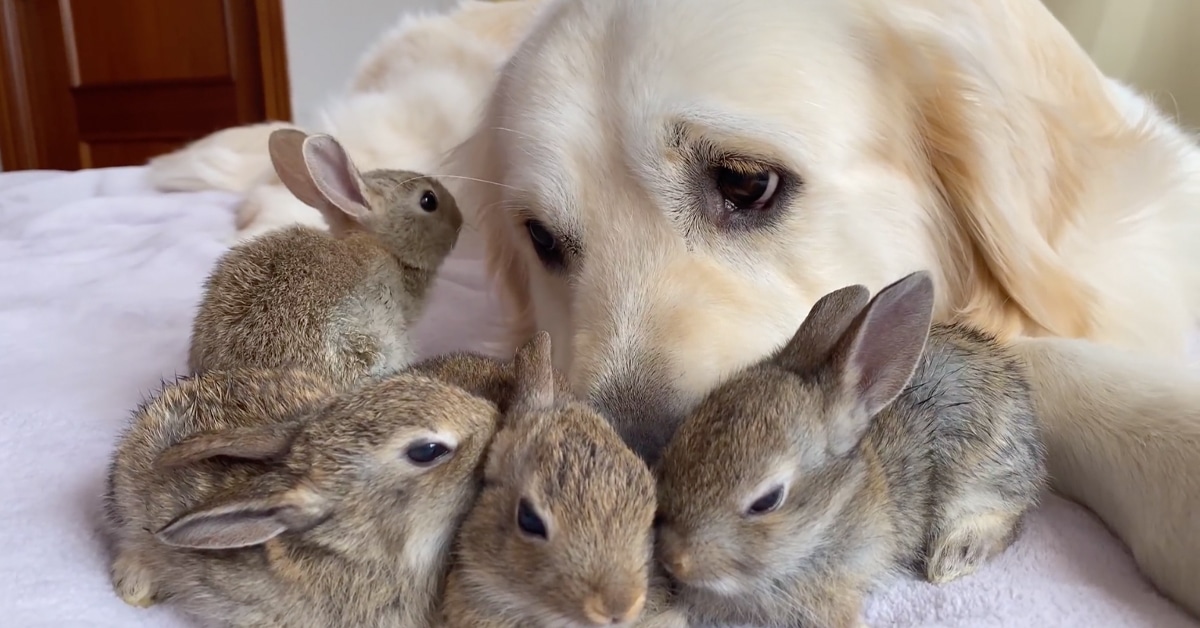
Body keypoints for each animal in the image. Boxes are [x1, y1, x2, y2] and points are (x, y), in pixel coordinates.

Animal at [652, 271, 1046, 628]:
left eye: (767, 501)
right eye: (670, 454)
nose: (673, 558)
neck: (827, 520)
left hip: (979, 478)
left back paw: (952, 558)